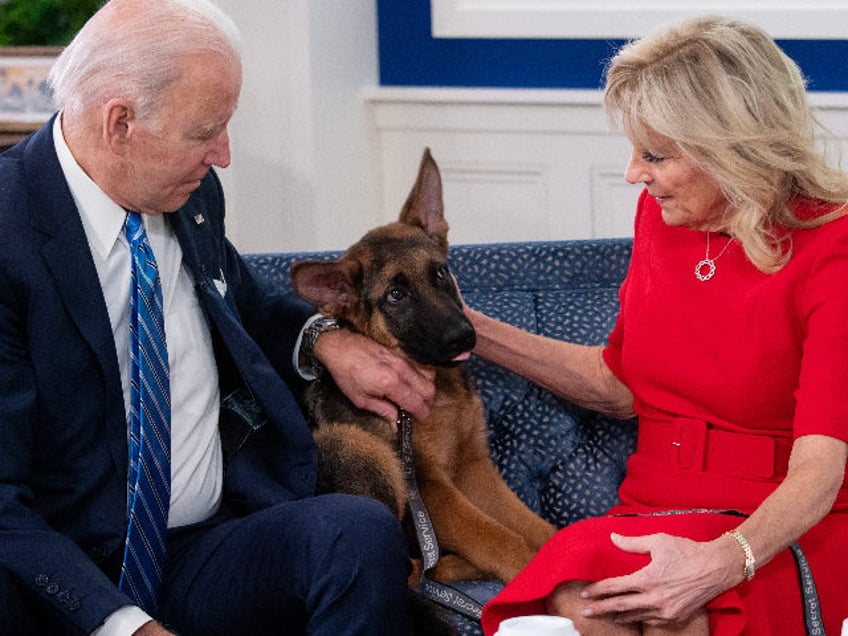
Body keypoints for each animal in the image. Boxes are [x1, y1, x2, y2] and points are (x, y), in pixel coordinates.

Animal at [288, 149, 560, 588]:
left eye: (440, 272)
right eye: (396, 295)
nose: (463, 338)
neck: (439, 387)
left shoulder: (472, 467)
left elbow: (535, 527)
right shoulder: (431, 486)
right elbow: (500, 538)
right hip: (358, 447)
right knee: (411, 570)